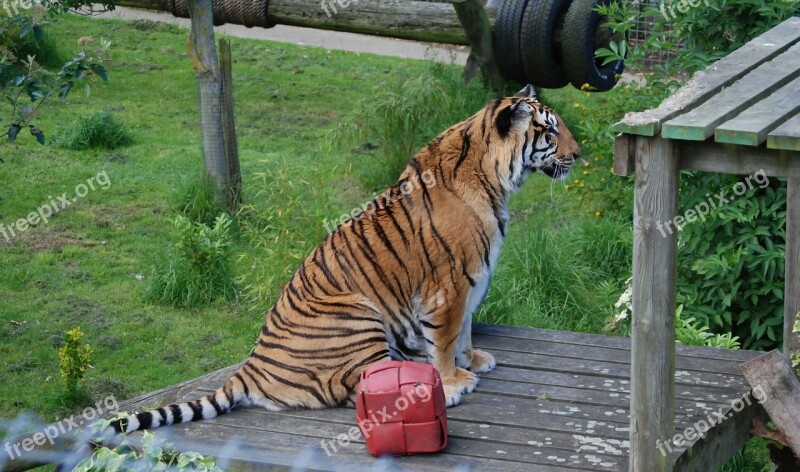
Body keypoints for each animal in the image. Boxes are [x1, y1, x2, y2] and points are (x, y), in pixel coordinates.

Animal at [111, 85, 576, 436]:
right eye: (550, 131)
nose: (579, 153)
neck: (495, 180)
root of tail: (251, 369)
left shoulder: (472, 281)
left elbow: (463, 332)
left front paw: (472, 360)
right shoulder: (449, 286)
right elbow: (445, 338)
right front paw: (452, 381)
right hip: (356, 313)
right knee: (353, 387)